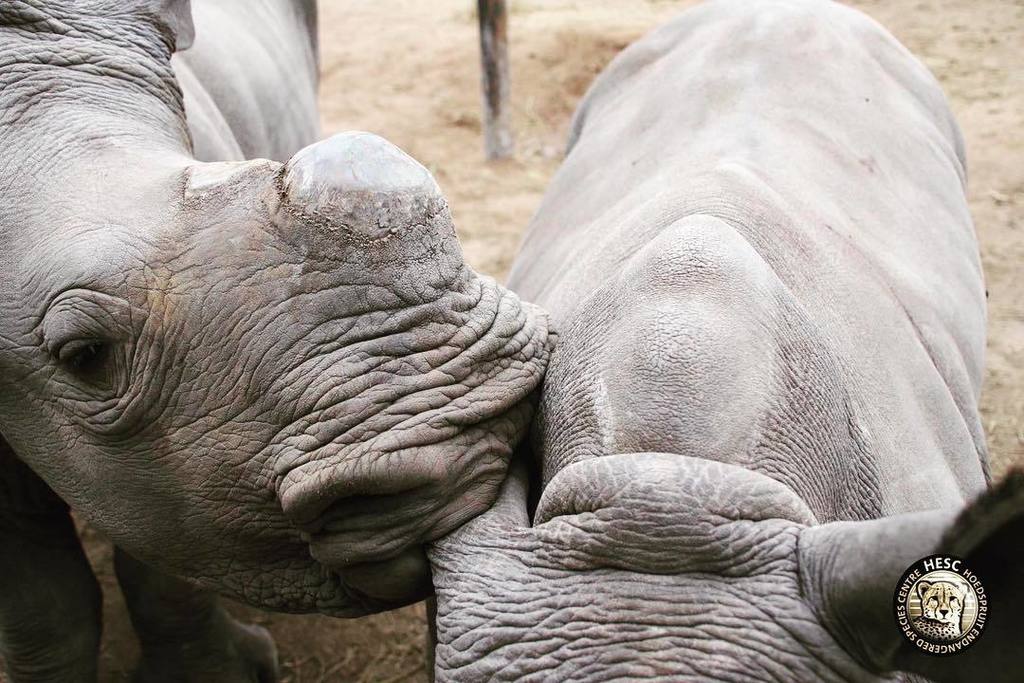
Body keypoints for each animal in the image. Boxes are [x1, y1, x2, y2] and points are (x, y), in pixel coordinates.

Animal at [0, 1, 550, 680]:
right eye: (84, 355)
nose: (478, 439)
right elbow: (44, 601)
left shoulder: (168, 465)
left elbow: (164, 555)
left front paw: (213, 672)